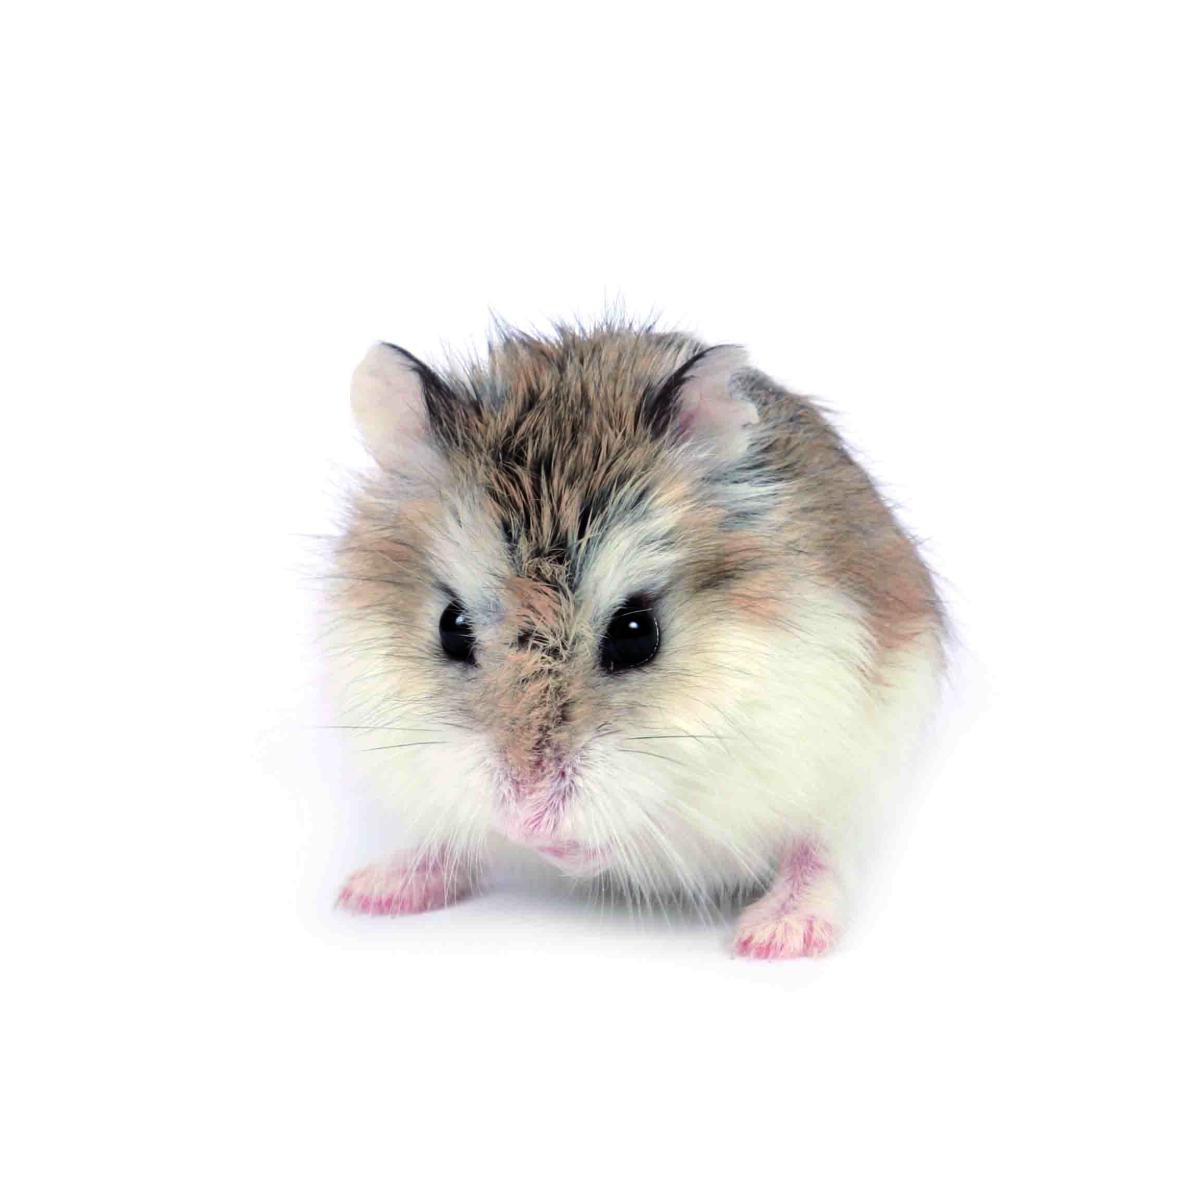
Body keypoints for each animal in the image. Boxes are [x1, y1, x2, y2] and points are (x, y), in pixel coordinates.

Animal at [326, 322, 943, 958]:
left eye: (636, 634)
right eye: (451, 626)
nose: (525, 819)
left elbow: (639, 827)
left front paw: (563, 849)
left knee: (819, 850)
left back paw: (779, 934)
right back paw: (372, 890)